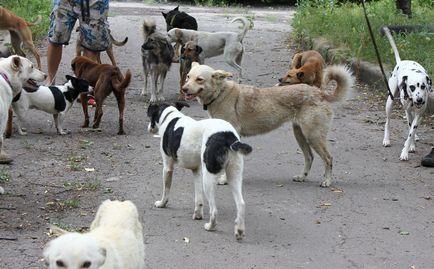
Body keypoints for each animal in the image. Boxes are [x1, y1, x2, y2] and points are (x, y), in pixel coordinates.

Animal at [147, 101, 253, 239]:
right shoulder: (196, 170)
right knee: (241, 204)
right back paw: (239, 230)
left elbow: (166, 189)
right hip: (234, 176)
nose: (149, 128)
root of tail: (228, 137)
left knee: (214, 209)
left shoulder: (167, 167)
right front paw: (197, 214)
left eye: (150, 116)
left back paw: (210, 227)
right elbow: (199, 198)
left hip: (209, 178)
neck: (170, 116)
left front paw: (161, 204)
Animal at [181, 63, 354, 187]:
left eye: (199, 79)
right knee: (309, 157)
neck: (220, 94)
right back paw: (302, 177)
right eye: (188, 77)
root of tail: (320, 93)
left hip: (313, 136)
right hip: (300, 134)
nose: (184, 89)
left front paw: (224, 179)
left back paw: (327, 181)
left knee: (328, 158)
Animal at [382, 25, 432, 159]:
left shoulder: (419, 113)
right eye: (412, 87)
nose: (419, 100)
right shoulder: (409, 111)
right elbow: (410, 129)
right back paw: (386, 139)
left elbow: (411, 132)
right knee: (388, 122)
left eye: (423, 86)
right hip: (390, 102)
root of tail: (400, 62)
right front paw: (408, 149)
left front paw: (408, 147)